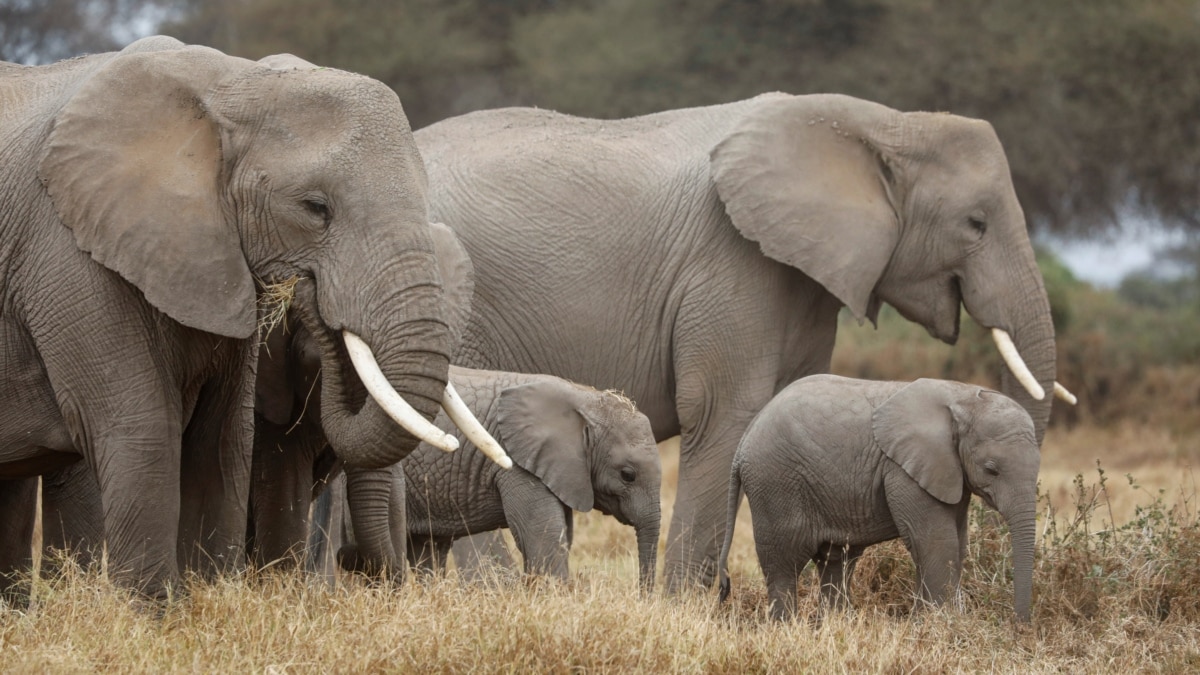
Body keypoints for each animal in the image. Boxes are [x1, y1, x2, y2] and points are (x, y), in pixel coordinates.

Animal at [0, 36, 492, 598]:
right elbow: (142, 432)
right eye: (316, 207)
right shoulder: (68, 255)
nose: (309, 292)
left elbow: (221, 442)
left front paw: (210, 600)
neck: (231, 86)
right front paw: (151, 614)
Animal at [720, 372, 1041, 619]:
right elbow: (938, 542)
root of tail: (743, 441)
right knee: (784, 563)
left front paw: (929, 622)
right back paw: (786, 627)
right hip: (774, 483)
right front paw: (943, 626)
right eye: (991, 469)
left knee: (836, 561)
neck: (961, 396)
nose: (1019, 624)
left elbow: (957, 544)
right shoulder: (903, 470)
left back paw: (835, 624)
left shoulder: (948, 473)